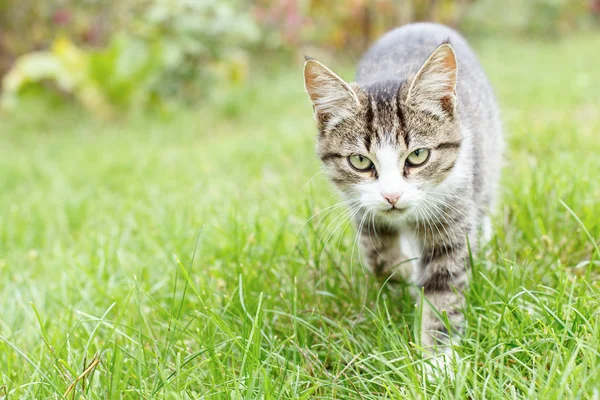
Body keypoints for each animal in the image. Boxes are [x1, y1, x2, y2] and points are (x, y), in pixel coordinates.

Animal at [302, 22, 504, 362]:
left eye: (418, 155)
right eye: (360, 161)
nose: (392, 196)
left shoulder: (454, 204)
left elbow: (443, 284)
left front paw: (439, 361)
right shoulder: (362, 210)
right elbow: (380, 259)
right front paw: (406, 278)